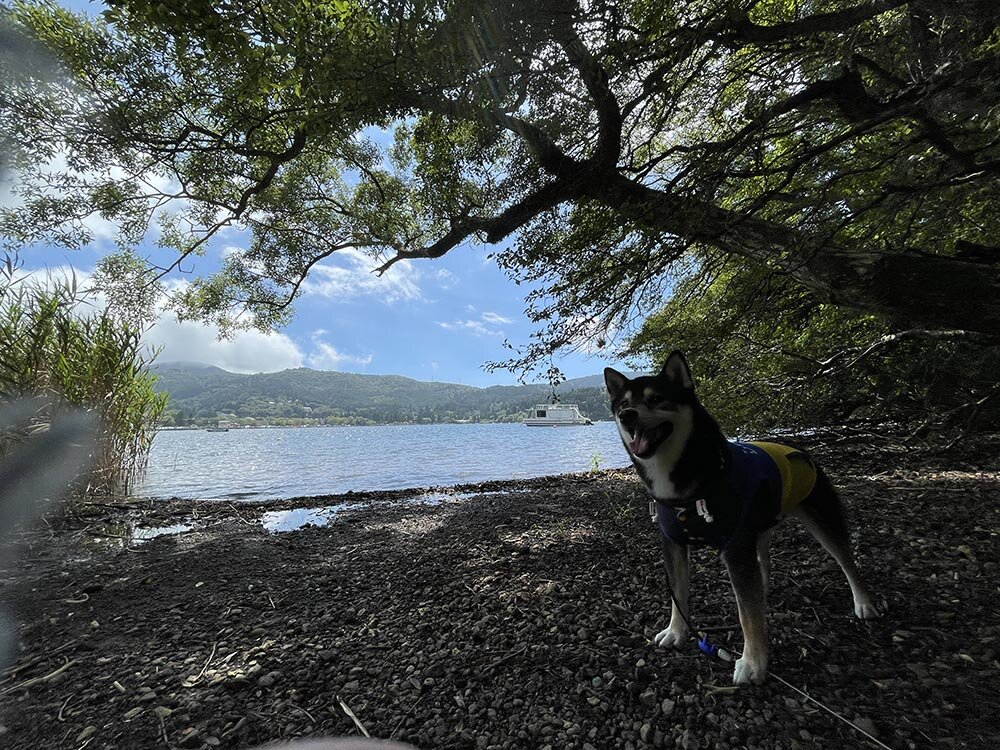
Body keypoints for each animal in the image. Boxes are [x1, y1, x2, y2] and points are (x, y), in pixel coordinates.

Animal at [604, 352, 880, 688]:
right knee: (764, 561)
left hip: (821, 518)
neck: (689, 484)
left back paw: (864, 602)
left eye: (656, 398)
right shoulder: (674, 544)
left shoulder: (735, 548)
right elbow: (678, 595)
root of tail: (795, 445)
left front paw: (753, 664)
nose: (627, 415)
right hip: (759, 527)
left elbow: (747, 614)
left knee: (846, 560)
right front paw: (676, 632)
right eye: (623, 403)